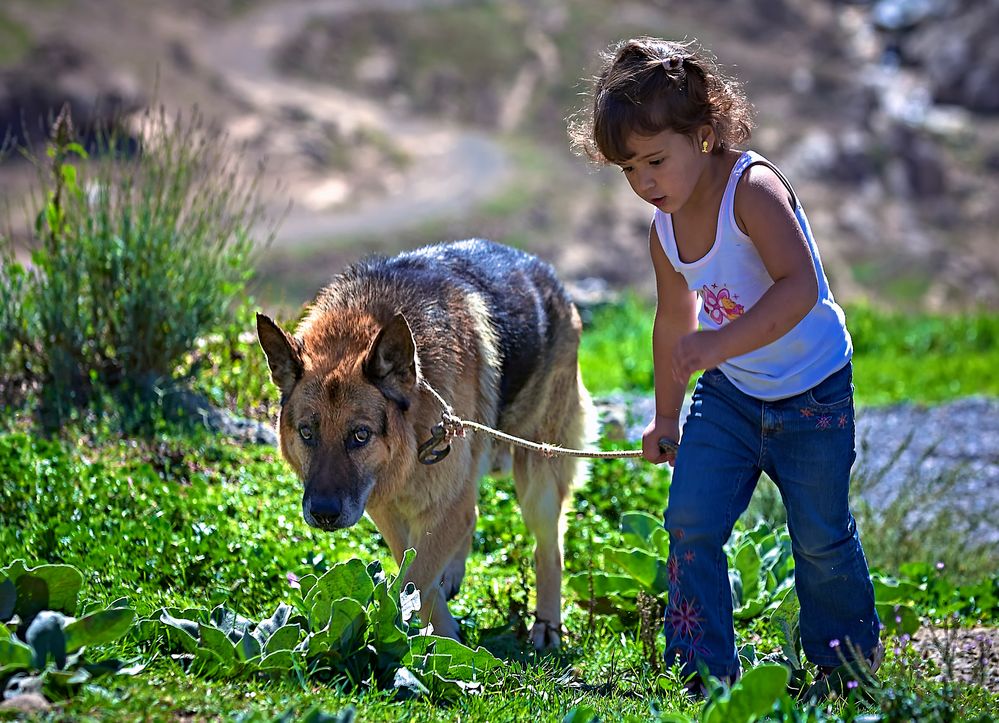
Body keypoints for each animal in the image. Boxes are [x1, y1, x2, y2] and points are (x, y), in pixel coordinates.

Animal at [262, 239, 596, 652]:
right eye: (308, 433)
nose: (323, 513)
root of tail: (547, 275)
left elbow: (414, 582)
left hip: (538, 482)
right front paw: (440, 629)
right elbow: (414, 574)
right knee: (474, 515)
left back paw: (547, 625)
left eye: (360, 435)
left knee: (549, 549)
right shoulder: (386, 510)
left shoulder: (442, 505)